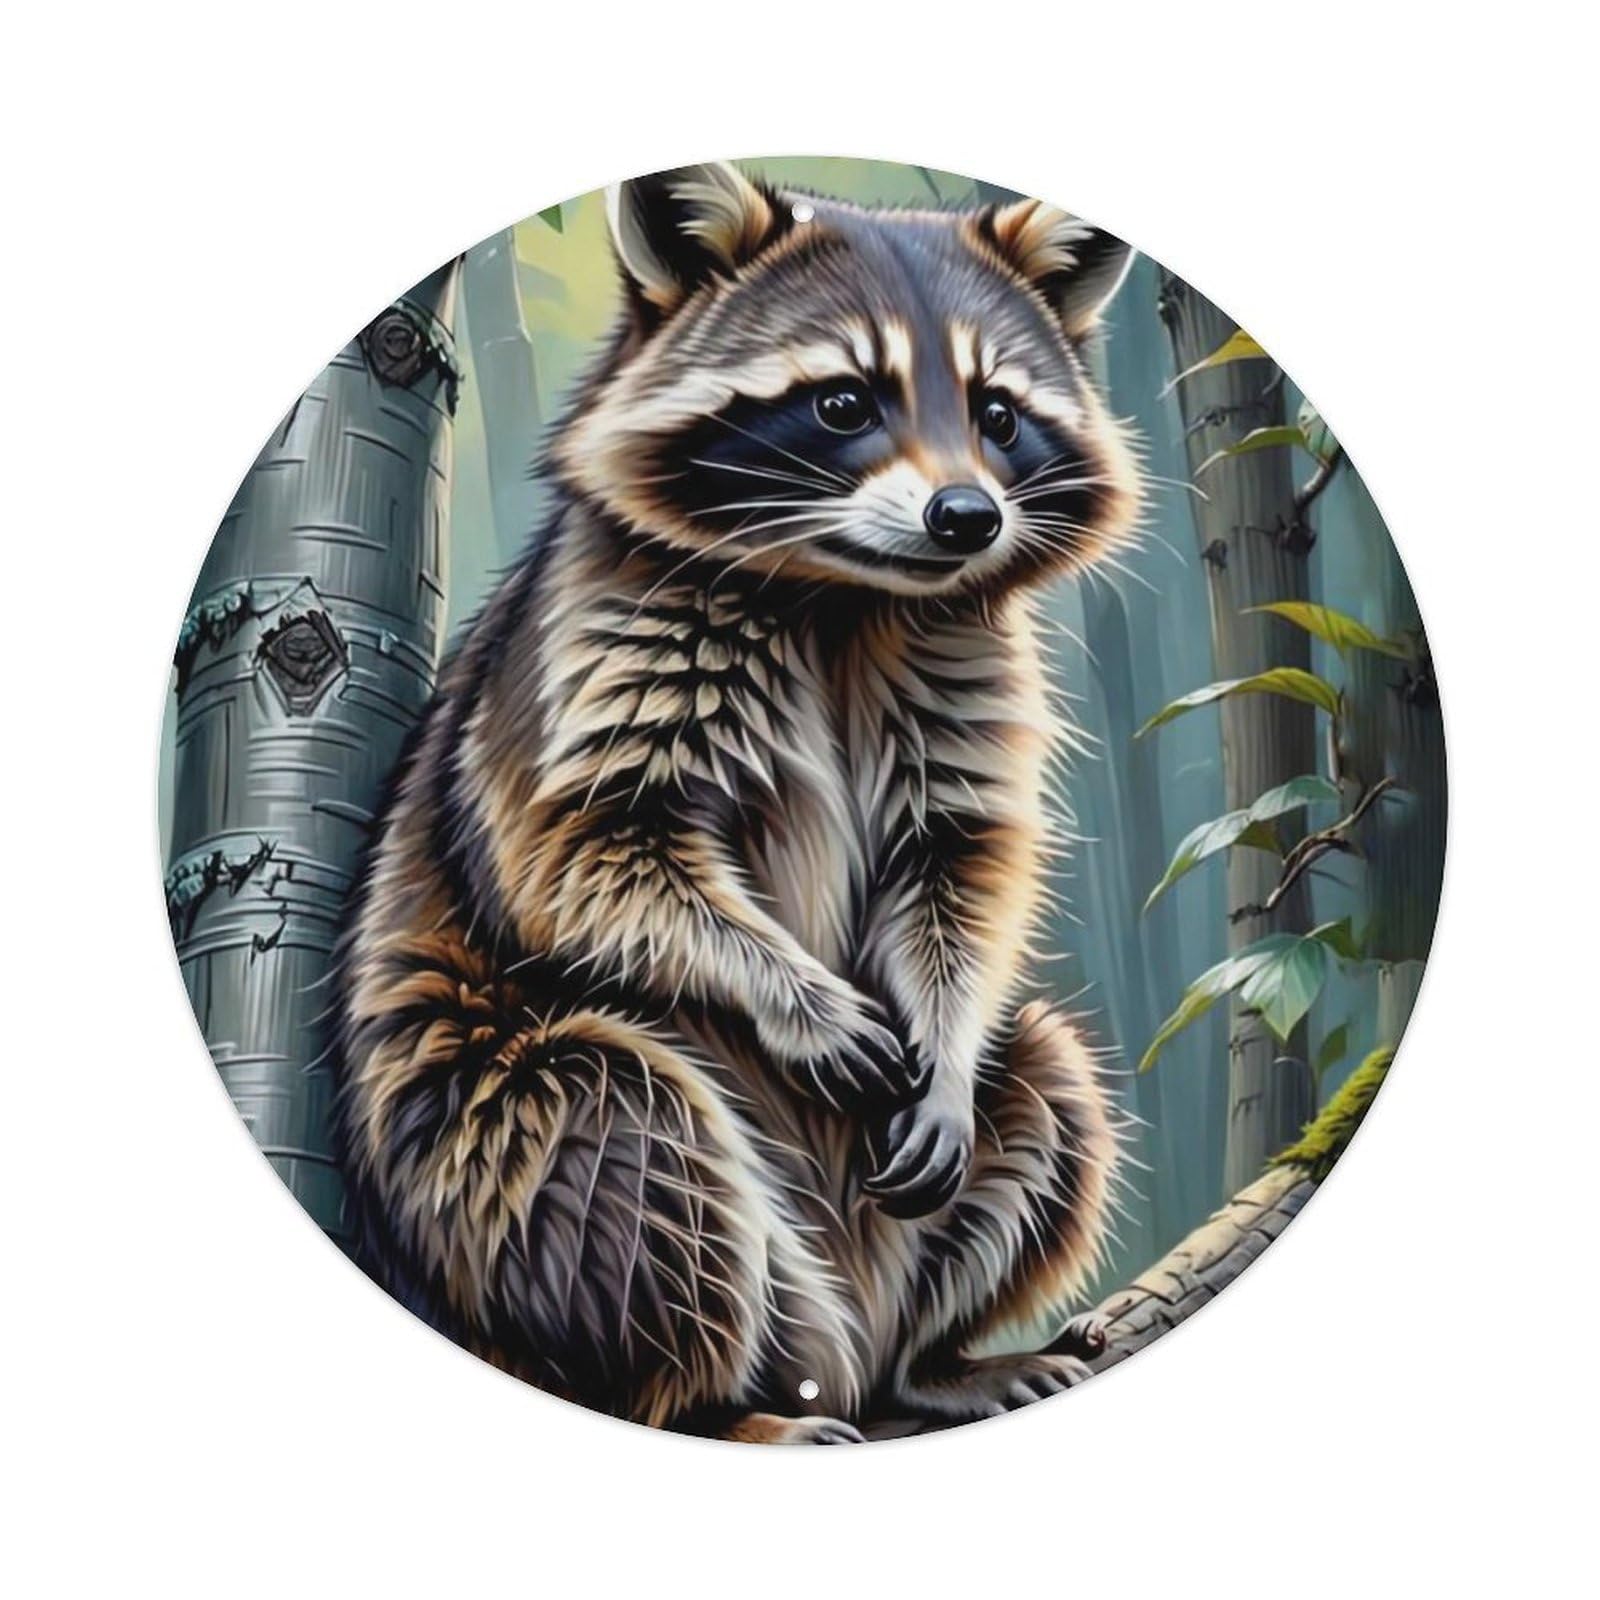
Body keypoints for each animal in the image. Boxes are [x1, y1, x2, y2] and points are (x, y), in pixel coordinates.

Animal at [332, 162, 1139, 1442]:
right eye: (844, 402)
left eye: (1000, 414)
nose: (967, 518)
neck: (845, 595)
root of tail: (840, 1354)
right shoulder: (584, 649)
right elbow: (586, 856)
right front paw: (790, 995)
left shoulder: (961, 668)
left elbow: (961, 859)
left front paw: (942, 1050)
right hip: (484, 1166)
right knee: (623, 1135)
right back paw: (713, 1403)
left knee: (1051, 1072)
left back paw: (939, 1356)